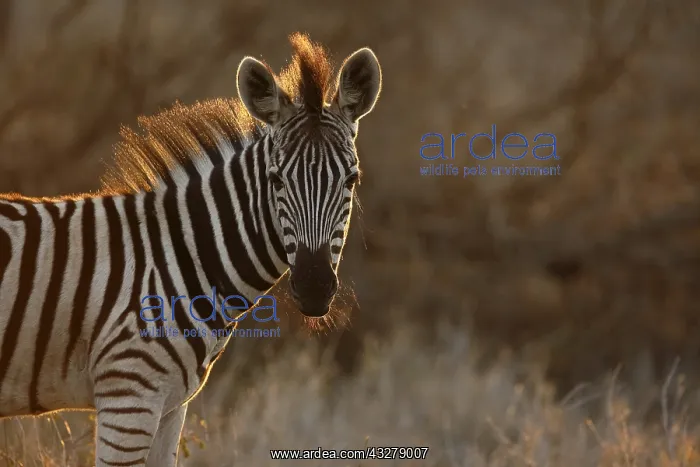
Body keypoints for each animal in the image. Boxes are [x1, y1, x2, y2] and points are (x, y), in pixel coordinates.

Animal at [0, 33, 381, 466]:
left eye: (351, 180)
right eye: (276, 179)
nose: (315, 287)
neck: (181, 255)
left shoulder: (170, 406)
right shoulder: (128, 395)